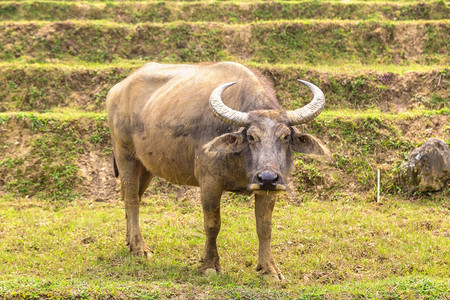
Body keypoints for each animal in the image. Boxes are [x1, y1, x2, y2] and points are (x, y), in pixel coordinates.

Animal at [107, 62, 328, 280]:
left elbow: (264, 226)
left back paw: (130, 241)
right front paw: (210, 265)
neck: (242, 161)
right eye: (251, 136)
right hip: (125, 155)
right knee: (132, 199)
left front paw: (269, 269)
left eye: (285, 136)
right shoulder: (209, 184)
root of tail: (117, 90)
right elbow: (212, 224)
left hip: (146, 166)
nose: (267, 178)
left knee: (133, 196)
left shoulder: (269, 190)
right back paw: (140, 248)